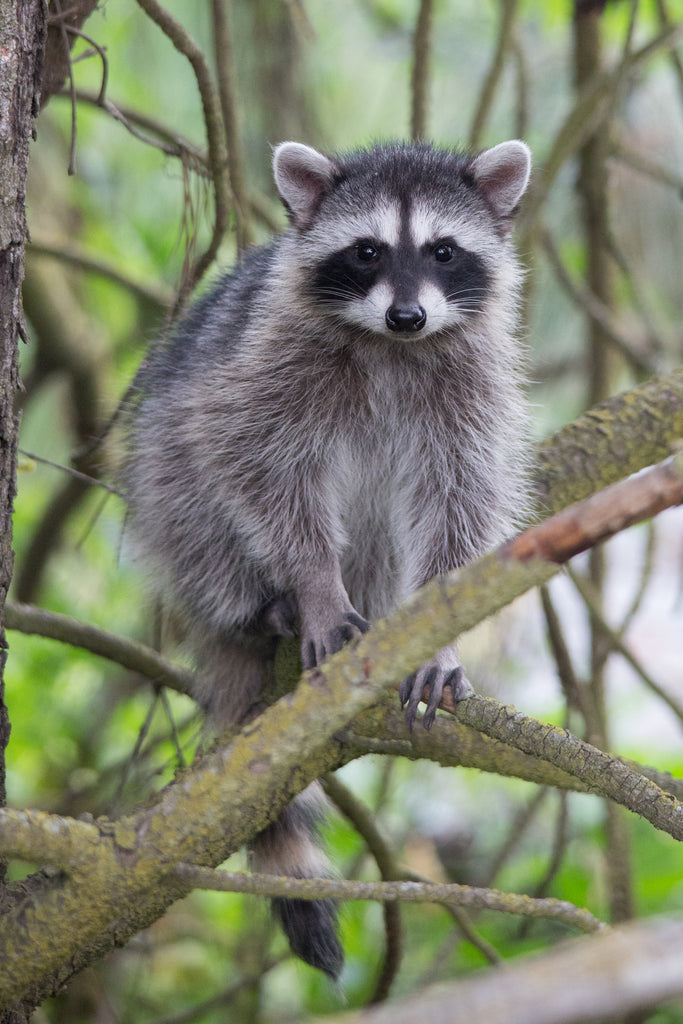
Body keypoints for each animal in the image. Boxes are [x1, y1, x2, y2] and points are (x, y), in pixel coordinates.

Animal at [124, 138, 532, 979]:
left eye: (443, 251)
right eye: (367, 250)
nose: (407, 314)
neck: (391, 346)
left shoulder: (471, 385)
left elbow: (460, 497)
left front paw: (438, 628)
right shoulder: (267, 359)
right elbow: (260, 467)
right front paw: (314, 589)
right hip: (164, 488)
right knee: (187, 478)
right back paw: (253, 608)